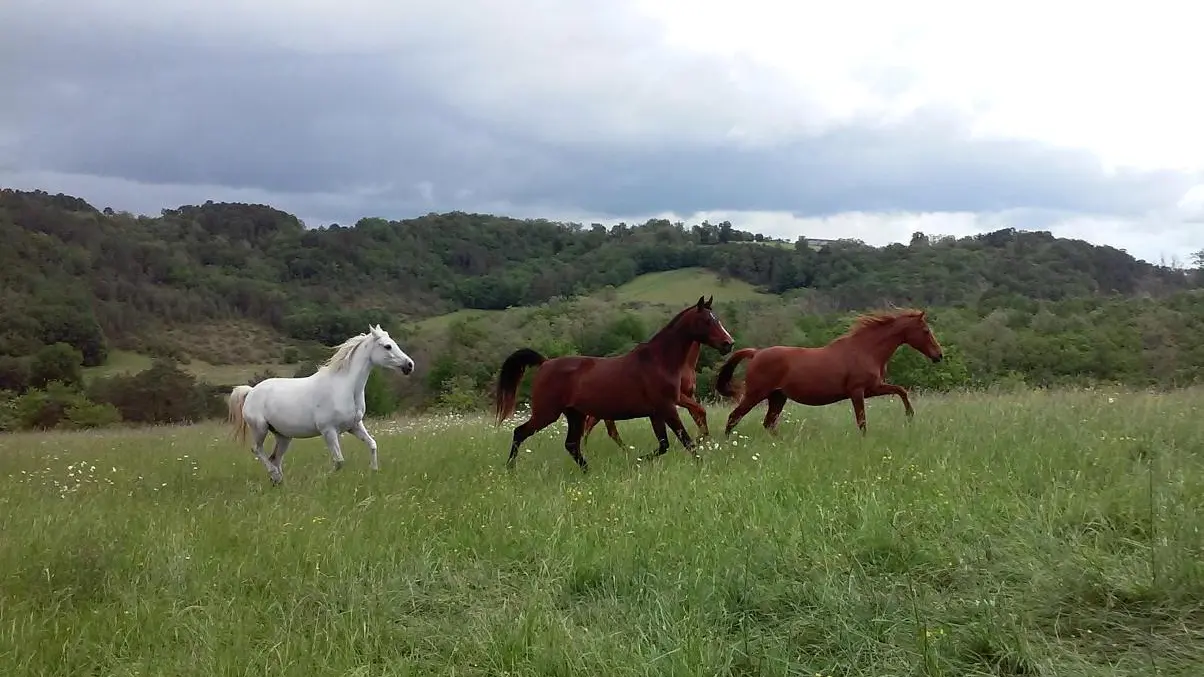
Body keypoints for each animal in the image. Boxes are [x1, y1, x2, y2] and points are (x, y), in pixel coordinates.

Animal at [226, 325, 414, 481]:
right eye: (387, 346)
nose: (409, 365)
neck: (343, 387)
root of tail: (251, 391)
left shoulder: (354, 426)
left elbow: (372, 445)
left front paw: (374, 471)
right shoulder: (328, 431)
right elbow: (339, 461)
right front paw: (323, 478)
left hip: (283, 436)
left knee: (275, 458)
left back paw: (278, 480)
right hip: (260, 428)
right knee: (257, 450)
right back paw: (275, 475)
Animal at [488, 295, 732, 469]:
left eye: (717, 320)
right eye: (706, 321)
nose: (728, 343)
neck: (660, 361)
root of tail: (545, 363)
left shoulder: (657, 413)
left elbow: (664, 445)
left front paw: (637, 460)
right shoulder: (668, 407)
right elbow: (685, 441)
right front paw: (701, 465)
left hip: (575, 414)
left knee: (571, 445)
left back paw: (588, 471)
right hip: (547, 413)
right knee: (520, 433)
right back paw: (510, 469)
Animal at [712, 310, 939, 433]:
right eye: (926, 331)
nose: (939, 355)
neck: (866, 350)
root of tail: (756, 353)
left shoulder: (873, 388)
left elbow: (900, 390)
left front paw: (910, 415)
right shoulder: (858, 391)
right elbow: (862, 421)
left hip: (777, 397)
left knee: (768, 423)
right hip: (755, 394)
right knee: (734, 417)